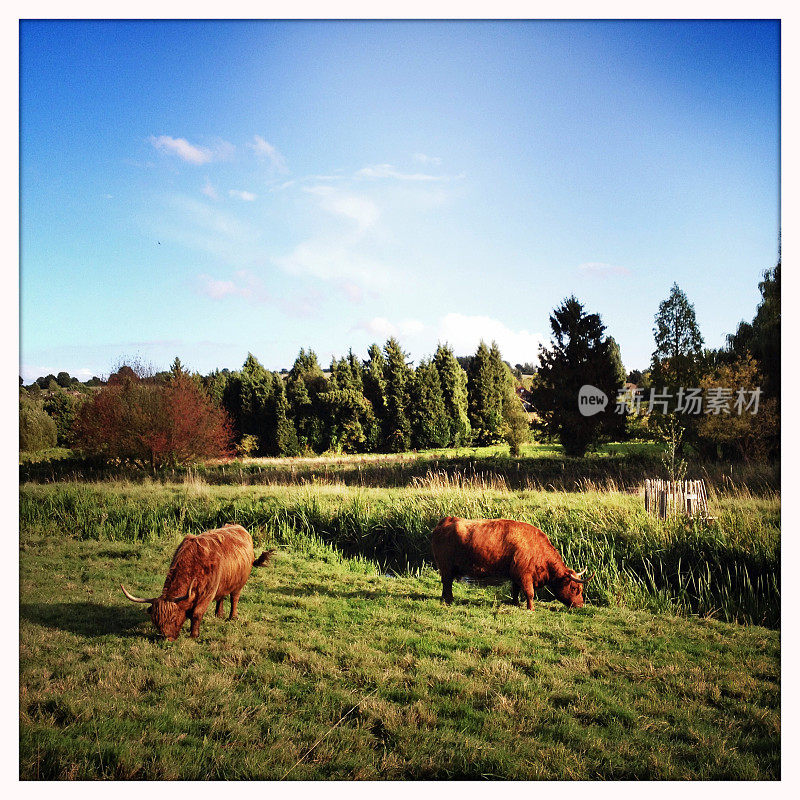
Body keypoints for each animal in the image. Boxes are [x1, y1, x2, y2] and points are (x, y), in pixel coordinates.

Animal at [120, 520, 274, 640]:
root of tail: (241, 528)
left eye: (173, 618)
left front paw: (194, 635)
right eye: (155, 622)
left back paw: (232, 617)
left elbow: (196, 613)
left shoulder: (208, 593)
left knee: (234, 598)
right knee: (221, 597)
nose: (166, 638)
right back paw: (219, 614)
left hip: (239, 583)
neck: (194, 564)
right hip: (224, 582)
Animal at [428, 516, 592, 608]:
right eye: (574, 588)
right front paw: (531, 609)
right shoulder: (524, 575)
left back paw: (445, 599)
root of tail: (446, 520)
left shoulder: (516, 575)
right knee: (447, 582)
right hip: (446, 566)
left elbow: (515, 591)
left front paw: (516, 603)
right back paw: (449, 600)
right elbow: (530, 593)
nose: (580, 605)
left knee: (446, 583)